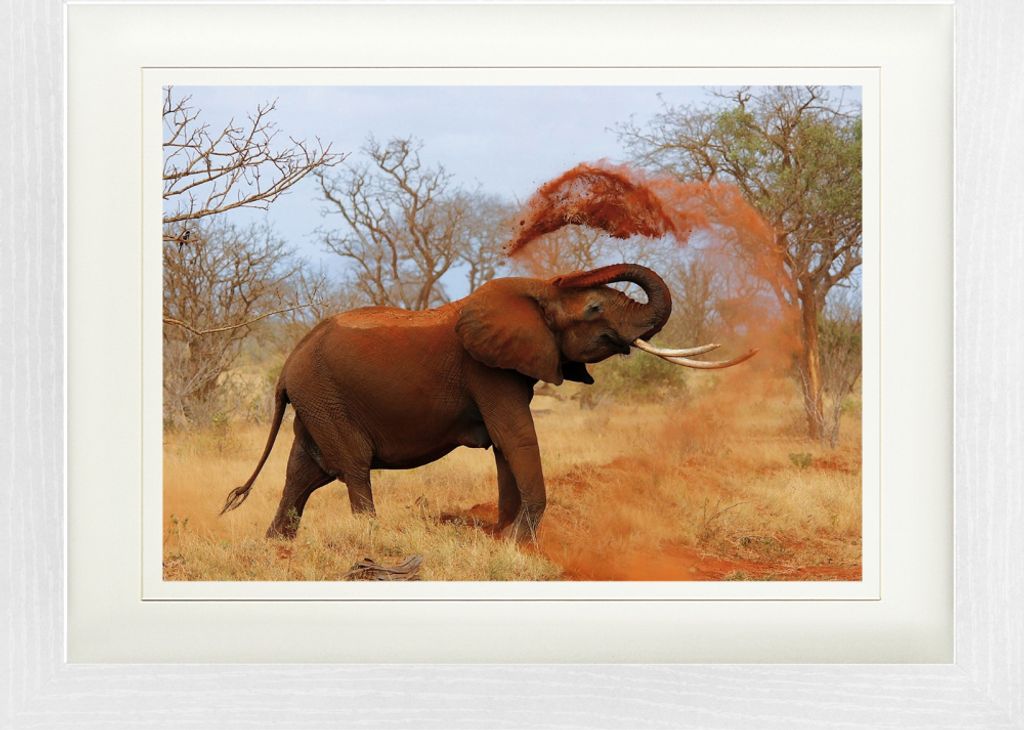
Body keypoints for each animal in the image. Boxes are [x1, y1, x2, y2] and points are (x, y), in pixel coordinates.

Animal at [220, 263, 755, 542]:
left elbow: (505, 446)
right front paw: (520, 543)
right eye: (595, 308)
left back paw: (277, 547)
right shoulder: (487, 370)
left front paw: (503, 537)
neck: (535, 292)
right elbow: (516, 436)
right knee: (350, 467)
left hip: (316, 400)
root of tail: (288, 365)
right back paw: (372, 539)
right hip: (325, 396)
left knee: (304, 471)